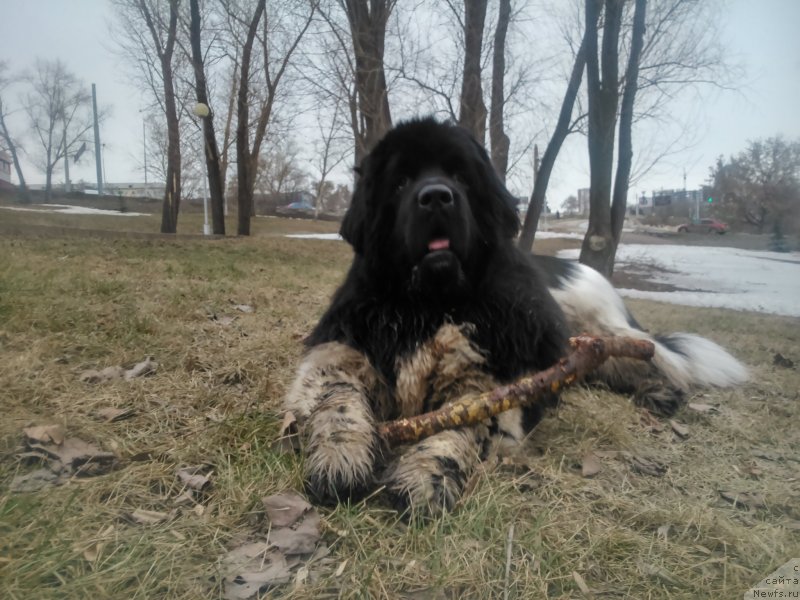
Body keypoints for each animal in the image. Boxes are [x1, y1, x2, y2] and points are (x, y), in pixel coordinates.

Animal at [282, 117, 752, 516]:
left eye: (460, 177)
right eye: (400, 182)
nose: (436, 196)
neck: (432, 304)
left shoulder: (496, 377)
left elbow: (463, 426)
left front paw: (428, 473)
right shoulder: (343, 344)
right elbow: (336, 395)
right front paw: (341, 454)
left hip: (592, 327)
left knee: (642, 356)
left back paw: (661, 391)